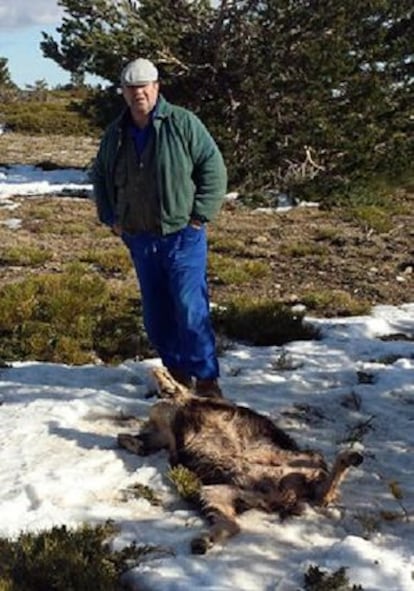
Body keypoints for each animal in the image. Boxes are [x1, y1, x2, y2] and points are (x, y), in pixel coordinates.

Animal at [117, 368, 362, 556]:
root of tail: (286, 494)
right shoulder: (162, 434)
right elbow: (134, 438)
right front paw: (131, 441)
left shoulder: (175, 415)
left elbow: (170, 388)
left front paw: (160, 376)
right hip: (216, 492)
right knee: (233, 525)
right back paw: (203, 542)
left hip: (283, 457)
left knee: (322, 479)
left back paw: (350, 457)